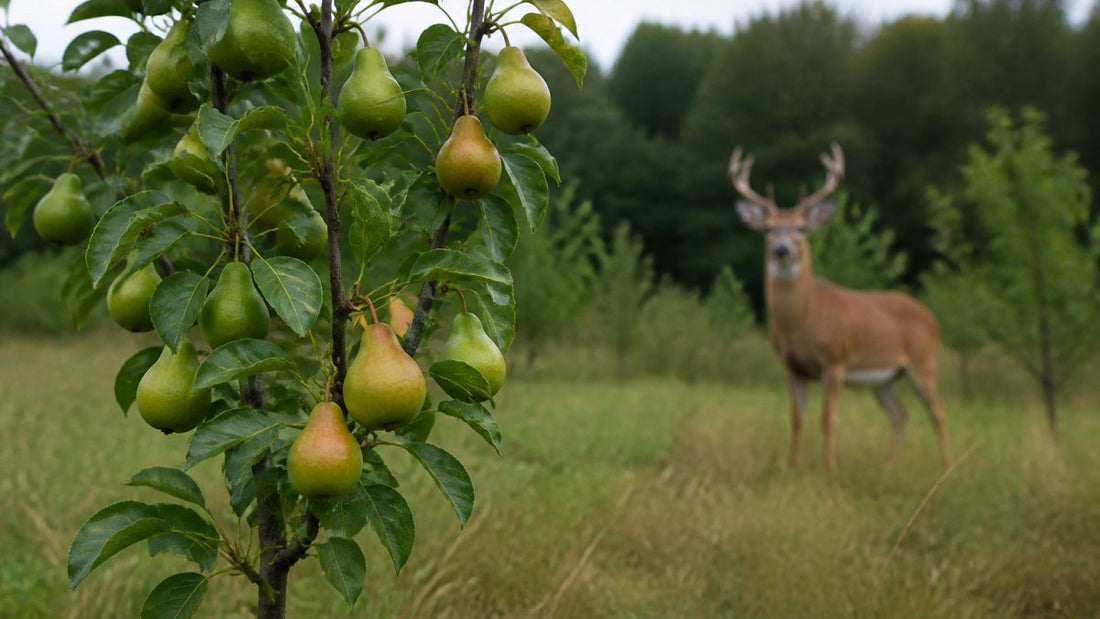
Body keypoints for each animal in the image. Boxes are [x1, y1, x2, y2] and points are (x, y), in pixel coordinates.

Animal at [730, 143, 952, 473]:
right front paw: (791, 467)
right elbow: (796, 419)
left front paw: (830, 468)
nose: (782, 249)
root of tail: (930, 315)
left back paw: (948, 466)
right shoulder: (792, 366)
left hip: (924, 362)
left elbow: (827, 419)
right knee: (900, 414)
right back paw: (888, 467)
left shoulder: (835, 362)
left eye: (802, 228)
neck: (802, 320)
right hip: (884, 378)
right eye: (767, 229)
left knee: (937, 410)